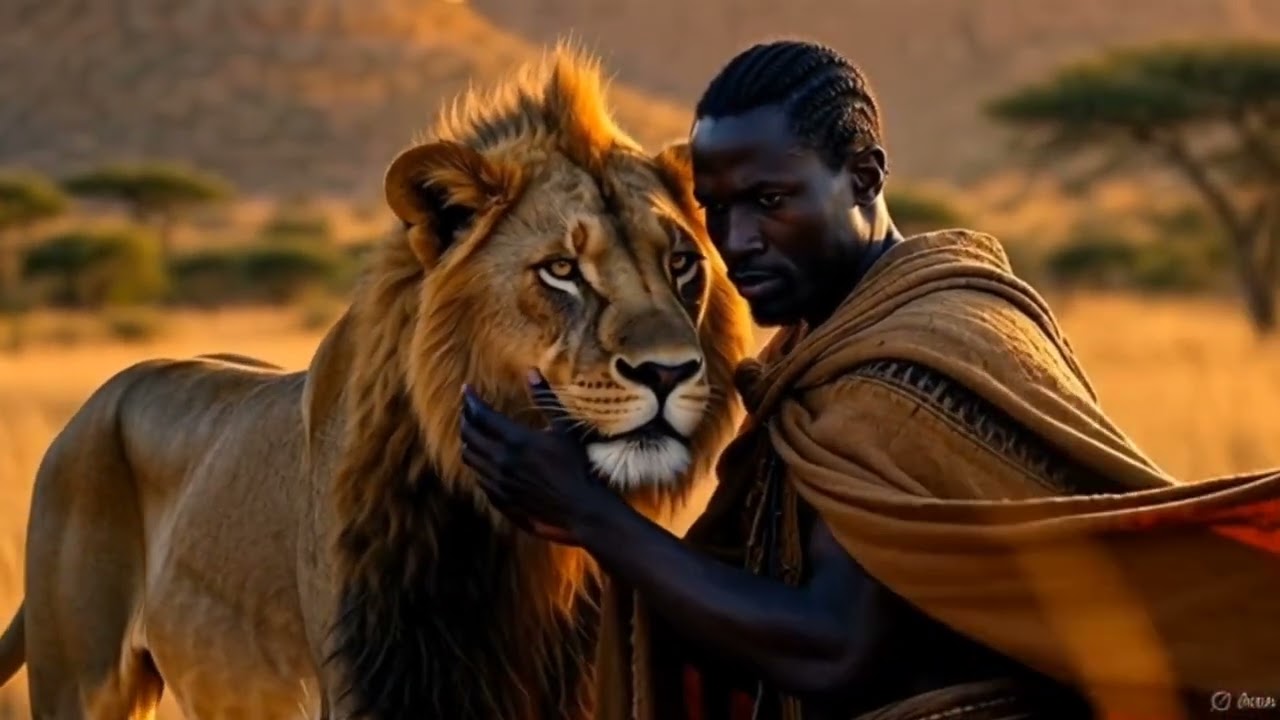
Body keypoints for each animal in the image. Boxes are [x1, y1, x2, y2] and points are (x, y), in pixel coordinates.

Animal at [0, 47, 754, 719]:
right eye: (562, 270)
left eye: (682, 262)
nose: (667, 371)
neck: (518, 548)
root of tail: (97, 400)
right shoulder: (369, 682)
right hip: (79, 683)